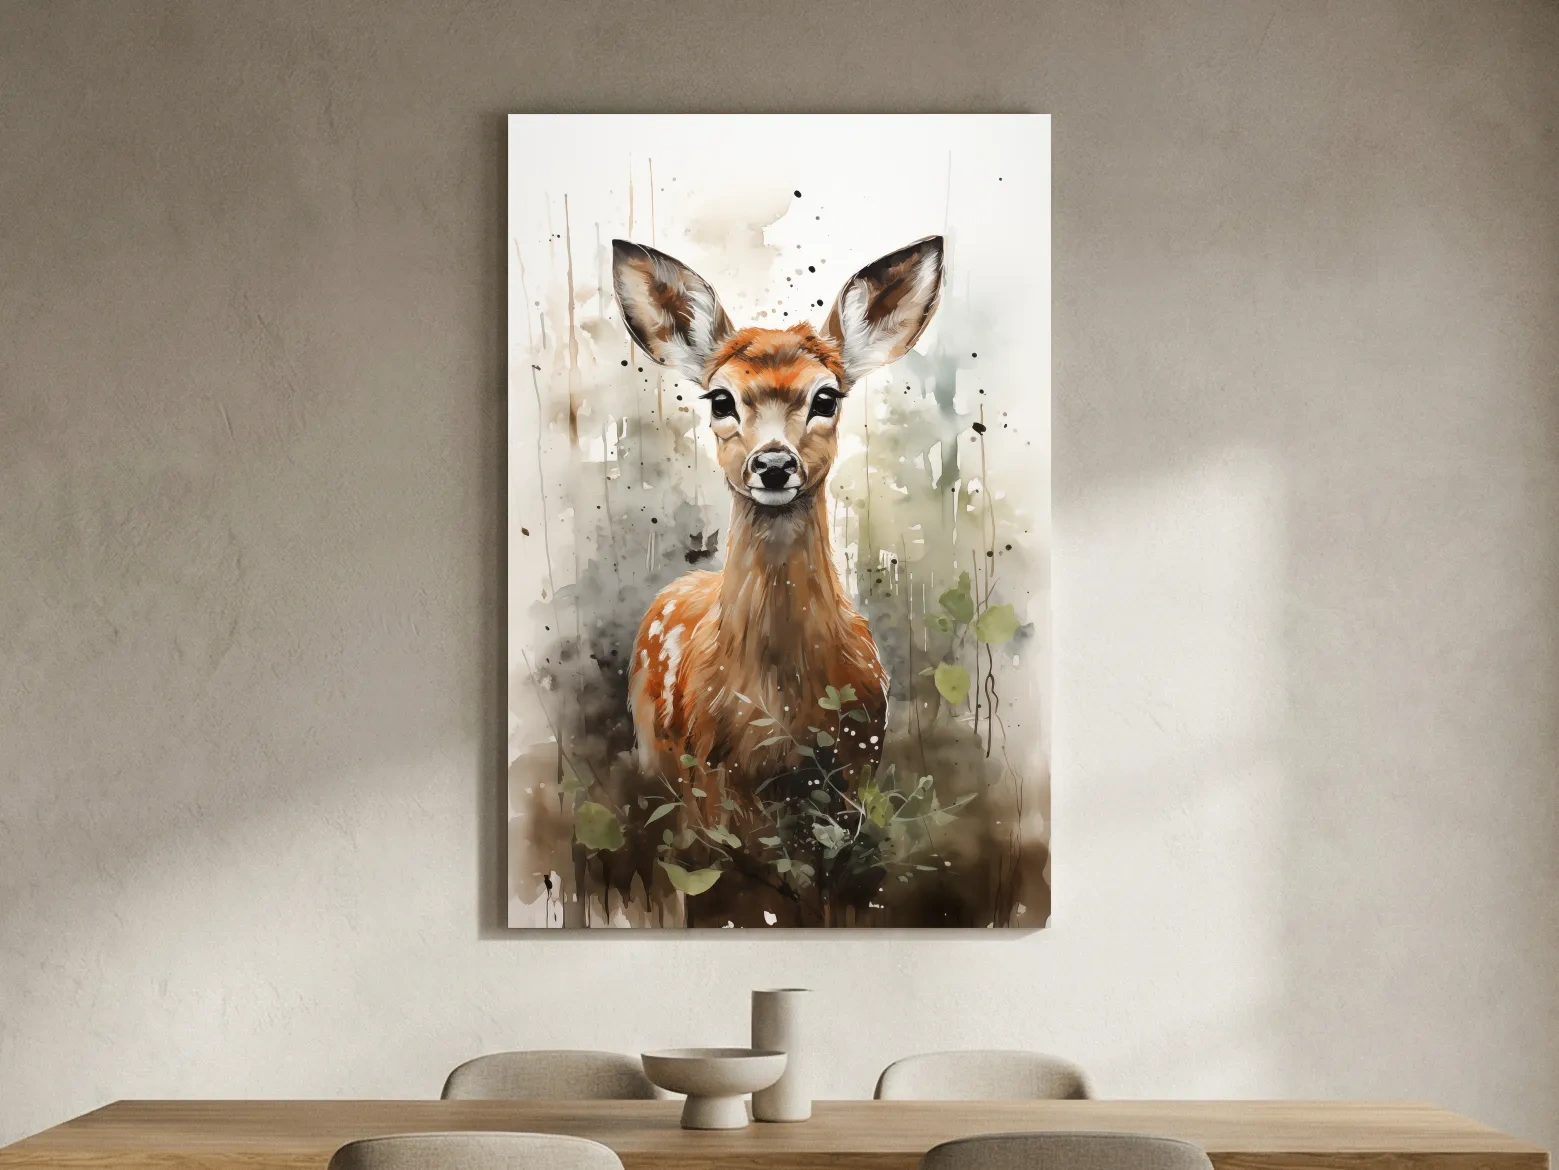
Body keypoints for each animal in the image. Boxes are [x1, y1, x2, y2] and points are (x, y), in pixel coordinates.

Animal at [612, 234, 944, 833]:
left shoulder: (858, 769)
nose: (773, 464)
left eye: (827, 398)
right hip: (655, 753)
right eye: (720, 399)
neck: (781, 712)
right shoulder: (711, 783)